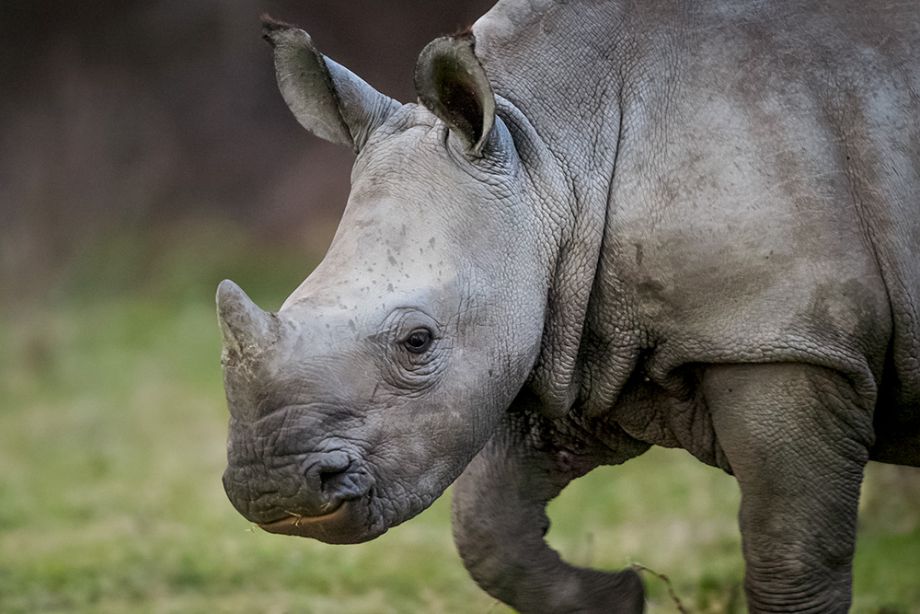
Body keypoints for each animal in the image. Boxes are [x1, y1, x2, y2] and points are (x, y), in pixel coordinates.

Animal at [217, 1, 920, 611]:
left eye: (417, 341)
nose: (273, 487)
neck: (551, 153)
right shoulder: (570, 335)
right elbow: (487, 526)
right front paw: (619, 597)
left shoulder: (783, 341)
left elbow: (791, 561)